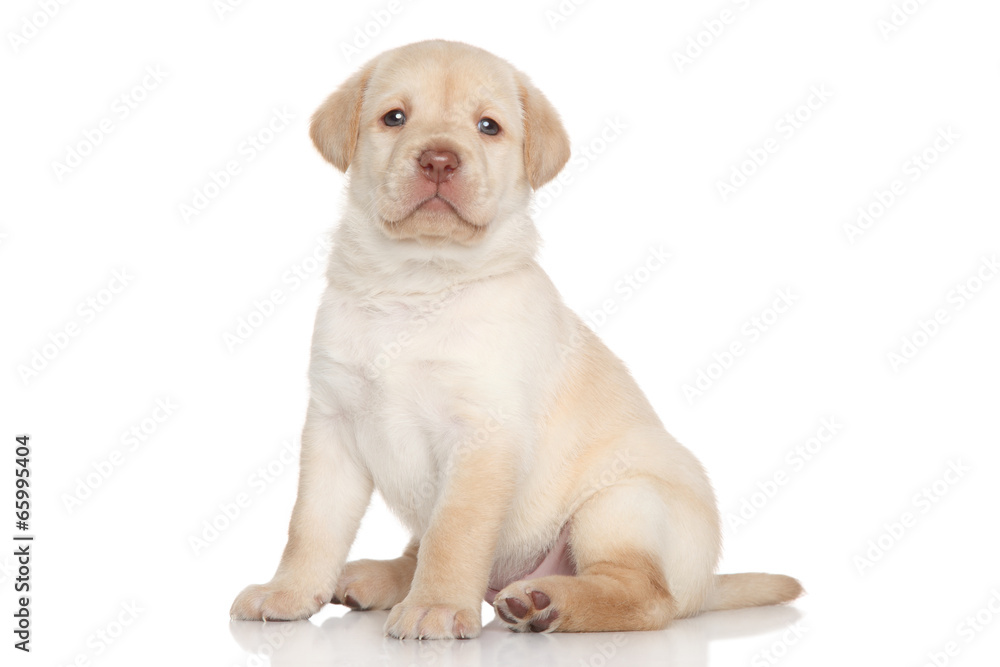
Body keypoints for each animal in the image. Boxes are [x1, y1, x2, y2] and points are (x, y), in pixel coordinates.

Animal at [230, 37, 800, 640]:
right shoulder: (332, 425)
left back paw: (545, 601)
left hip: (621, 503)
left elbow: (454, 532)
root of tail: (706, 586)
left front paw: (435, 605)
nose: (438, 159)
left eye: (488, 127)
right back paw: (382, 578)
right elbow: (310, 526)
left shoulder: (482, 434)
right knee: (415, 549)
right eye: (394, 118)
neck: (417, 283)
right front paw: (288, 592)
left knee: (645, 596)